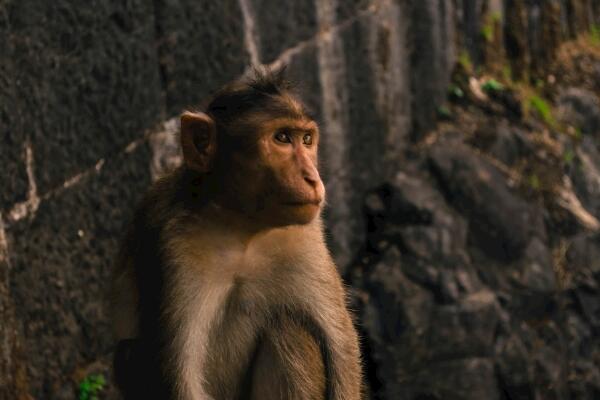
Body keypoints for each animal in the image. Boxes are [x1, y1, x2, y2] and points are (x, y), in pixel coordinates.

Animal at [110, 69, 364, 400]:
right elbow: (179, 376)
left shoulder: (304, 236)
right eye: (282, 138)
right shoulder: (172, 244)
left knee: (289, 329)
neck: (243, 228)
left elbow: (340, 345)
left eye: (307, 139)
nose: (313, 178)